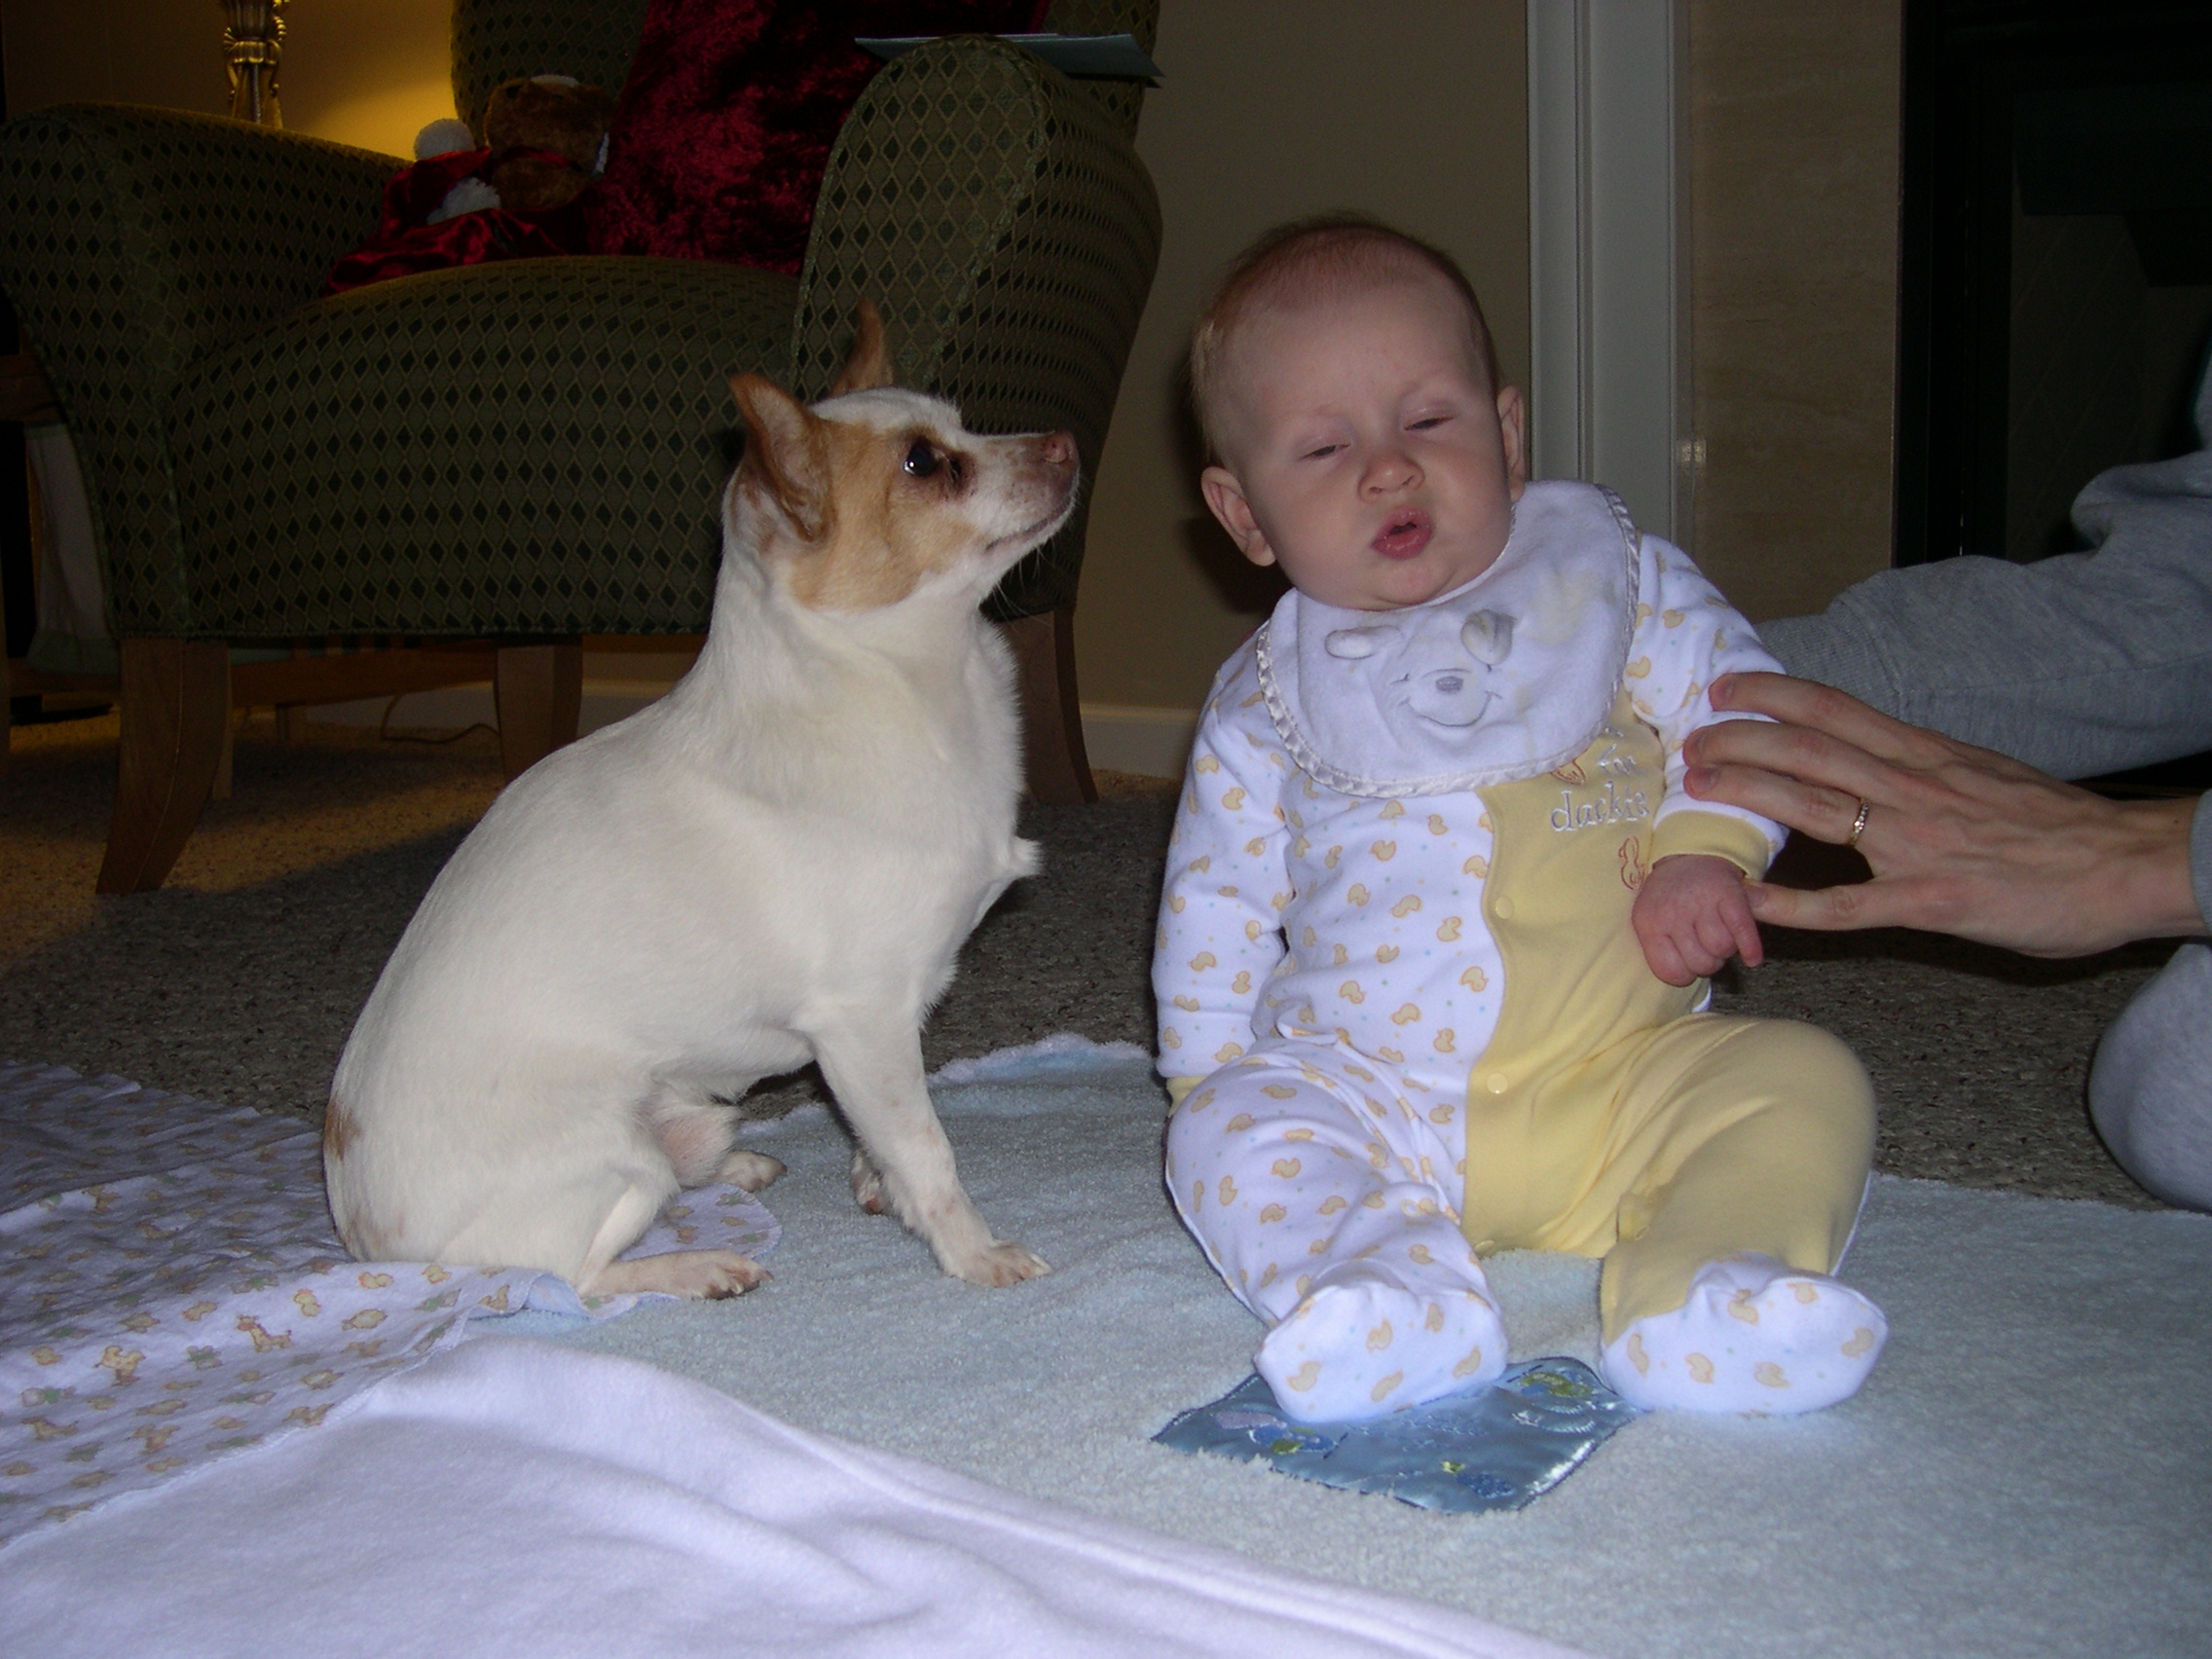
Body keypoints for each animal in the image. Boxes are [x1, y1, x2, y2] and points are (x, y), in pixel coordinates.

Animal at [327, 305, 1079, 1309]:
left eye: (962, 424)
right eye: (926, 465)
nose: (1067, 440)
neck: (906, 683)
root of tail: (367, 1238)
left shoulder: (889, 1027)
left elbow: (880, 1134)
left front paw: (875, 1185)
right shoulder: (865, 1018)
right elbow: (928, 1147)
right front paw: (971, 1252)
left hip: (685, 1114)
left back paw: (739, 1170)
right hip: (617, 1163)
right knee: (577, 1278)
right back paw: (697, 1265)